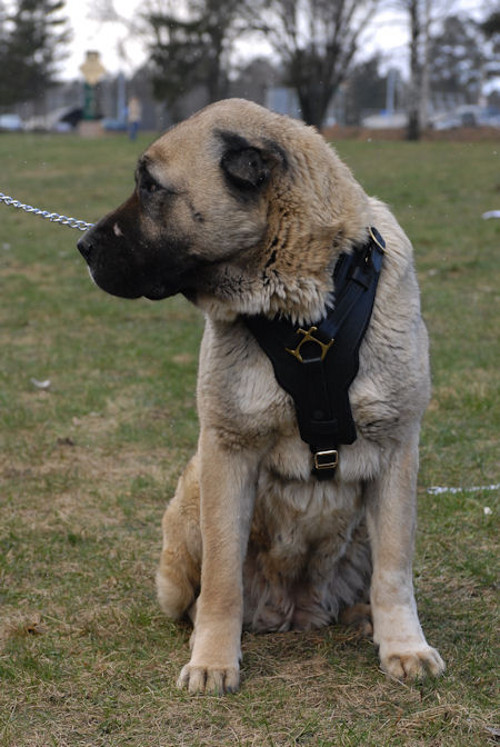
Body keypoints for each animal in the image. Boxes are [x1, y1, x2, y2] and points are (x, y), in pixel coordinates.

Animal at [77, 98, 446, 696]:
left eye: (151, 186)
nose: (82, 247)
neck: (303, 308)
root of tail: (294, 612)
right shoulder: (227, 452)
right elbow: (223, 580)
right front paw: (212, 660)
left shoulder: (397, 452)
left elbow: (395, 571)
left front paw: (404, 647)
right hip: (190, 501)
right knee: (195, 597)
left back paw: (363, 617)